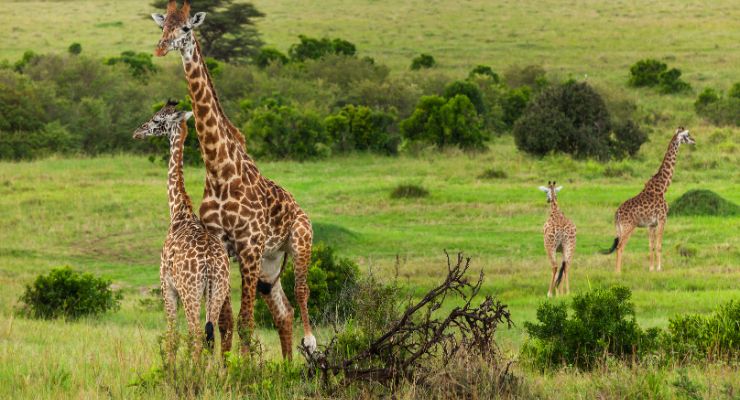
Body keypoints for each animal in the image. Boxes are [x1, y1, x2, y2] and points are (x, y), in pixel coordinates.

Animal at [134, 101, 233, 358]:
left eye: (157, 119)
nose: (137, 131)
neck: (178, 211)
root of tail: (210, 264)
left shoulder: (166, 285)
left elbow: (172, 336)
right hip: (218, 290)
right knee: (212, 335)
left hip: (190, 292)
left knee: (197, 334)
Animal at [150, 0, 316, 356]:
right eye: (162, 26)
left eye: (186, 28)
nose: (161, 48)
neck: (220, 171)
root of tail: (298, 208)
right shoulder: (223, 246)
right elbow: (225, 323)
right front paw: (228, 365)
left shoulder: (249, 247)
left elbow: (245, 323)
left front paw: (243, 366)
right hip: (270, 264)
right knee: (283, 311)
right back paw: (287, 364)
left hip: (299, 242)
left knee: (302, 290)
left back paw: (310, 343)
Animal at [604, 126, 696, 274]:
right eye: (686, 135)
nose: (693, 140)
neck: (663, 187)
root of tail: (616, 214)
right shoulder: (662, 219)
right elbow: (659, 245)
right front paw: (659, 268)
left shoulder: (651, 224)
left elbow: (651, 245)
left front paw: (651, 268)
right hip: (629, 227)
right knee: (620, 247)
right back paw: (618, 272)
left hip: (619, 228)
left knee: (618, 246)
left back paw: (615, 271)